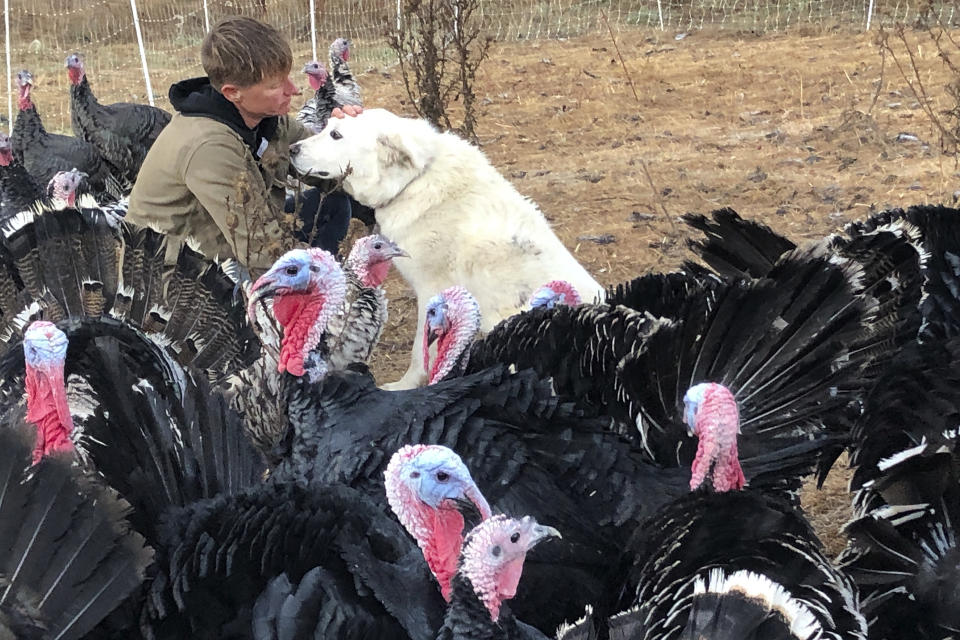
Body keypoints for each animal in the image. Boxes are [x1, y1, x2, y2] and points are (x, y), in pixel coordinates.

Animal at [292, 109, 604, 390]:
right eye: (327, 126)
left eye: (336, 135)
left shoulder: (431, 289)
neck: (415, 179)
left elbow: (421, 353)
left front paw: (406, 386)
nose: (293, 149)